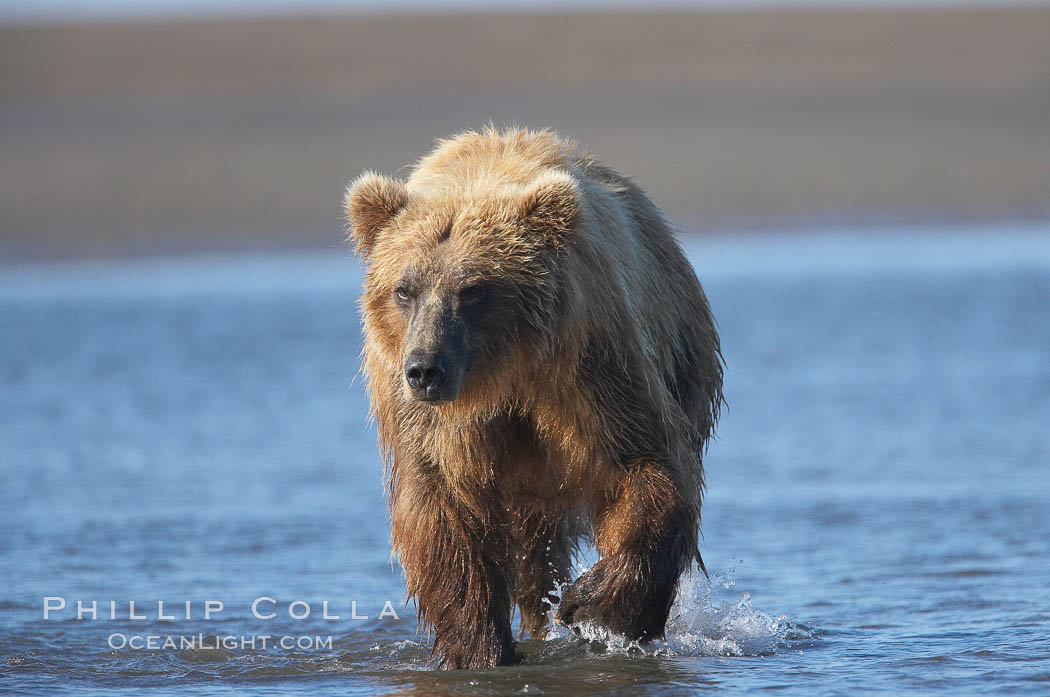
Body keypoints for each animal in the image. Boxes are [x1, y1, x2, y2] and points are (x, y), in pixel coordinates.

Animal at [344, 126, 722, 671]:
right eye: (404, 289)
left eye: (474, 289)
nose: (425, 370)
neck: (505, 379)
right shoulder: (432, 425)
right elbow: (440, 514)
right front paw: (478, 649)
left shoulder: (588, 370)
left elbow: (645, 466)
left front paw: (593, 607)